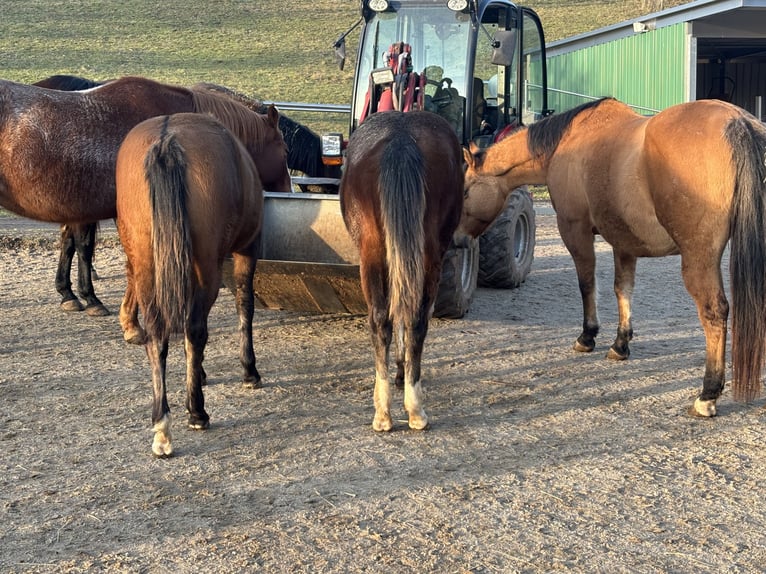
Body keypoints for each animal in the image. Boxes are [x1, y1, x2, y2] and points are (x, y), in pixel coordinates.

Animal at [116, 113, 264, 457]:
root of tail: (165, 143)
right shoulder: (245, 250)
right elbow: (244, 305)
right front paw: (249, 370)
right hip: (206, 267)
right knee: (195, 329)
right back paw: (197, 411)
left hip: (146, 264)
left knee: (157, 335)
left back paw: (162, 424)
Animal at [340, 111, 464, 431]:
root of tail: (401, 139)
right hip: (427, 255)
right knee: (415, 319)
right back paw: (412, 407)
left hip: (373, 252)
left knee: (383, 319)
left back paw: (388, 411)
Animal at [461, 96, 766, 418]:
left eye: (465, 190)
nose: (457, 239)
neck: (568, 141)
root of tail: (738, 122)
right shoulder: (623, 241)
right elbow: (623, 290)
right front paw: (620, 344)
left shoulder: (575, 229)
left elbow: (587, 285)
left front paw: (587, 337)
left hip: (699, 260)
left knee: (714, 313)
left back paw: (707, 394)